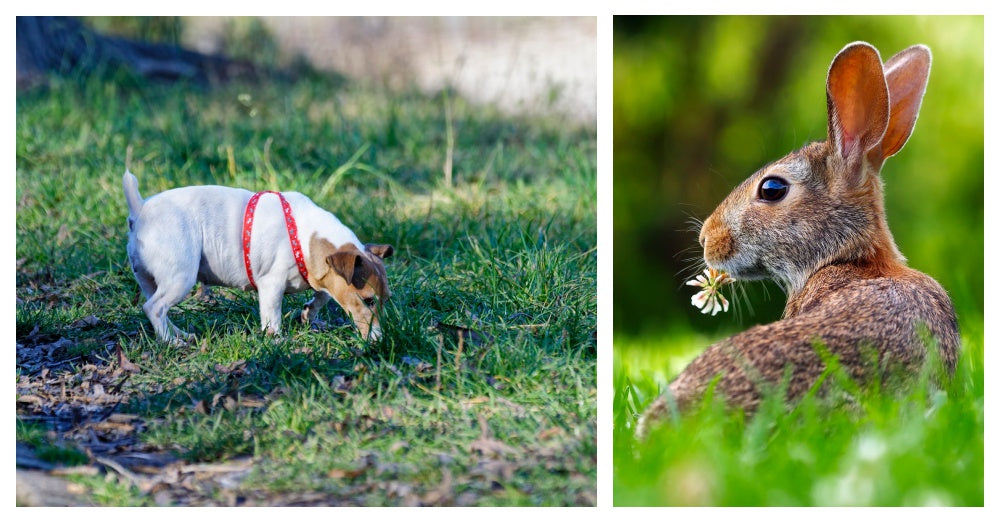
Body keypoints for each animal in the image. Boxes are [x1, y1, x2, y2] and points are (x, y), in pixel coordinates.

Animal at [123, 170, 392, 346]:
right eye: (368, 301)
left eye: (386, 300)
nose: (380, 340)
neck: (304, 236)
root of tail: (140, 210)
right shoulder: (271, 284)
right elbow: (272, 317)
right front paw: (278, 340)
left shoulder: (322, 276)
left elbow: (322, 296)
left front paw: (308, 312)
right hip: (181, 277)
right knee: (154, 308)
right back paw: (171, 341)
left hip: (152, 280)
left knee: (158, 308)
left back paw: (179, 334)